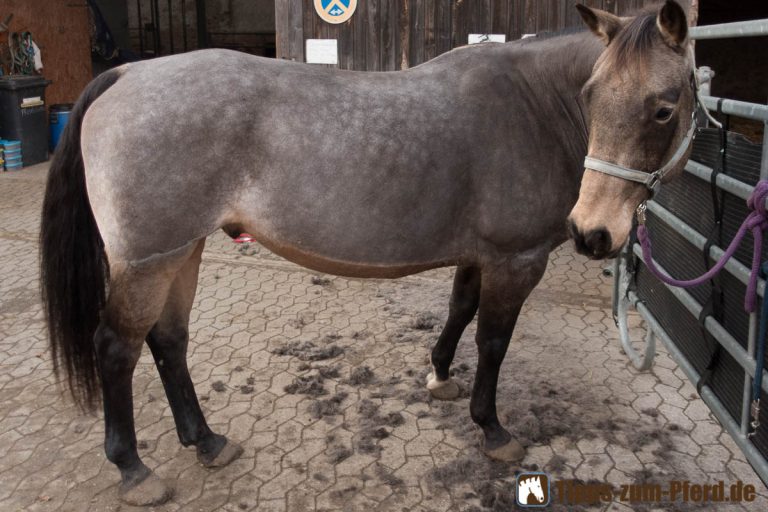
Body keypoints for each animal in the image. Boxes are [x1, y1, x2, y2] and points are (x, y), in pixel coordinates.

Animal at [39, 1, 694, 505]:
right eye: (590, 95)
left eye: (663, 108)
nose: (593, 232)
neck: (535, 106)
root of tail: (126, 73)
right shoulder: (516, 260)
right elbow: (492, 341)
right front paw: (492, 429)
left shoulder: (479, 256)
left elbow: (458, 311)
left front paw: (439, 376)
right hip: (147, 262)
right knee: (117, 349)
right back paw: (133, 469)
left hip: (183, 250)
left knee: (169, 341)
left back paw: (207, 441)